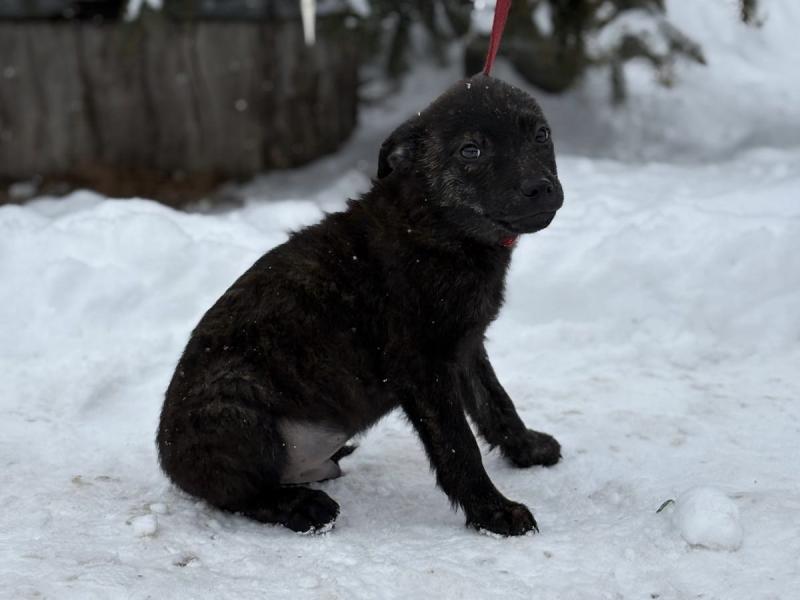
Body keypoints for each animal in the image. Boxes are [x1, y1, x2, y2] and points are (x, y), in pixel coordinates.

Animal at [157, 74, 564, 536]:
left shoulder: (465, 346)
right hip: (237, 411)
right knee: (238, 493)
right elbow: (458, 447)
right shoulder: (423, 367)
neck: (439, 226)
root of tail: (171, 463)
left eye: (541, 135)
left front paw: (528, 449)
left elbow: (496, 403)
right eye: (471, 151)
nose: (541, 188)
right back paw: (302, 507)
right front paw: (494, 512)